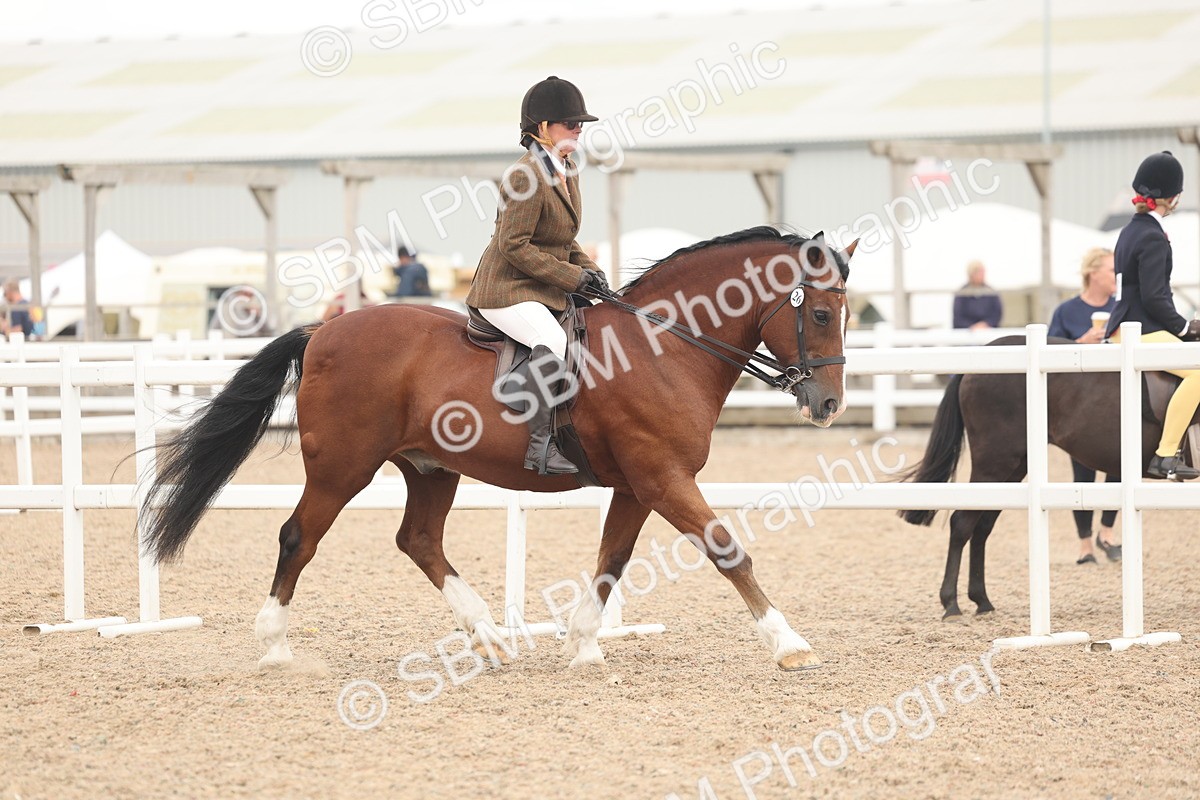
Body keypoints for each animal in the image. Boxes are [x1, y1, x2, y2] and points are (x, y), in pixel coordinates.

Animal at [141, 227, 858, 671]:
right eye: (821, 314)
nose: (827, 405)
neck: (664, 346)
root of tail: (324, 330)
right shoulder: (662, 477)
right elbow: (728, 551)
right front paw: (790, 644)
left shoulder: (639, 484)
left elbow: (612, 560)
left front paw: (583, 644)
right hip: (342, 468)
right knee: (298, 538)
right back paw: (276, 647)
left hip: (430, 468)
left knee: (419, 540)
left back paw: (486, 635)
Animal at [898, 334, 1198, 619]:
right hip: (993, 464)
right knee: (962, 523)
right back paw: (951, 603)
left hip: (1013, 468)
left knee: (982, 527)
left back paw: (981, 600)